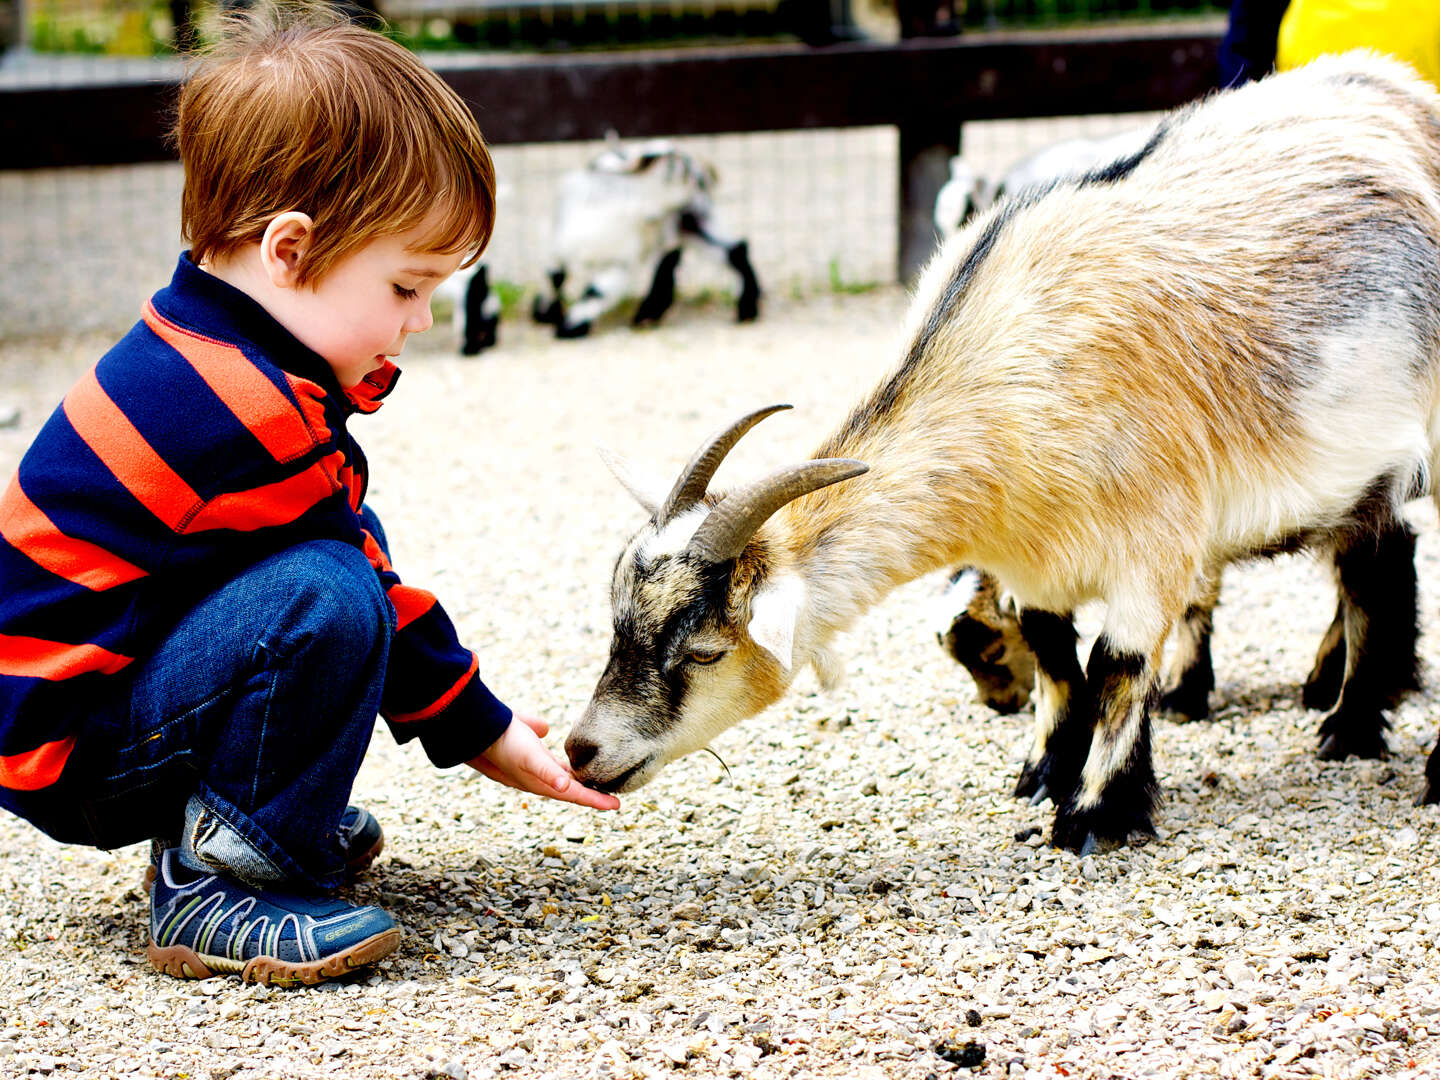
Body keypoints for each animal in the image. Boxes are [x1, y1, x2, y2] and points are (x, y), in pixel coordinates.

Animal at [527, 136, 754, 338]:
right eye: (683, 163)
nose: (714, 174)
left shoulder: (620, 263)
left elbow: (596, 292)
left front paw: (570, 327)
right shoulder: (559, 245)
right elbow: (555, 277)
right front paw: (545, 313)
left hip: (685, 223)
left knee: (685, 258)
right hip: (692, 224)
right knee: (732, 250)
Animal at [567, 55, 1440, 858]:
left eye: (705, 650)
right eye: (616, 625)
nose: (582, 751)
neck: (1008, 380)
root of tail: (1401, 86)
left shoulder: (1155, 545)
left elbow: (1118, 665)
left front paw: (1095, 816)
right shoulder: (1032, 561)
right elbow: (1056, 658)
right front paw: (1045, 773)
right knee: (1374, 560)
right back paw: (1350, 721)